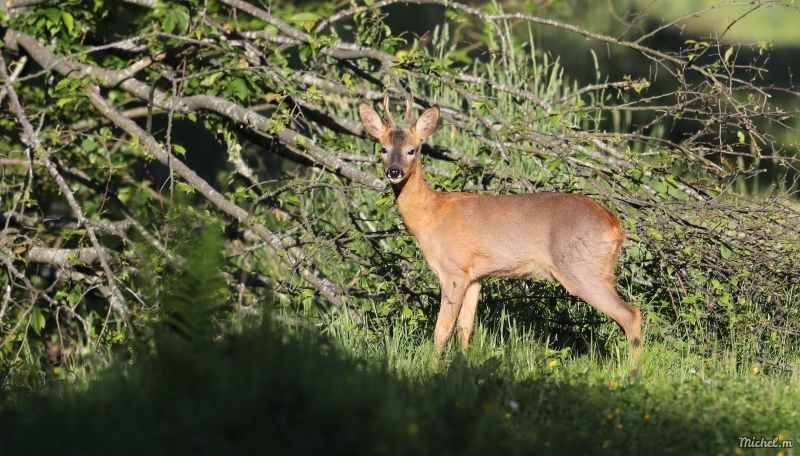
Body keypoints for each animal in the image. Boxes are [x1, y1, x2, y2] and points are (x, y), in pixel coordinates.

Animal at [360, 92, 640, 364]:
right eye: (383, 148)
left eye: (412, 150)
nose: (394, 171)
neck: (432, 215)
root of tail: (616, 227)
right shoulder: (475, 276)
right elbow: (464, 329)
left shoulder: (453, 271)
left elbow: (441, 330)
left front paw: (431, 370)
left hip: (581, 268)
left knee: (630, 314)